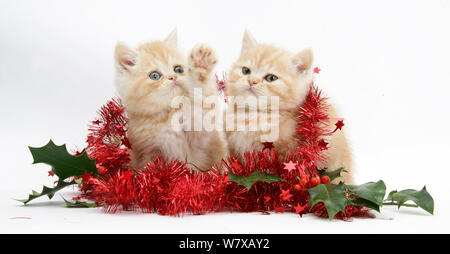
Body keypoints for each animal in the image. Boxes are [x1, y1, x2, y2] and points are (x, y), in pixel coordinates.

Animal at [114, 29, 229, 171]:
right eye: (154, 76)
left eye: (178, 69)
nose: (173, 77)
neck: (168, 115)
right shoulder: (146, 150)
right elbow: (149, 166)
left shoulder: (201, 137)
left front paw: (201, 65)